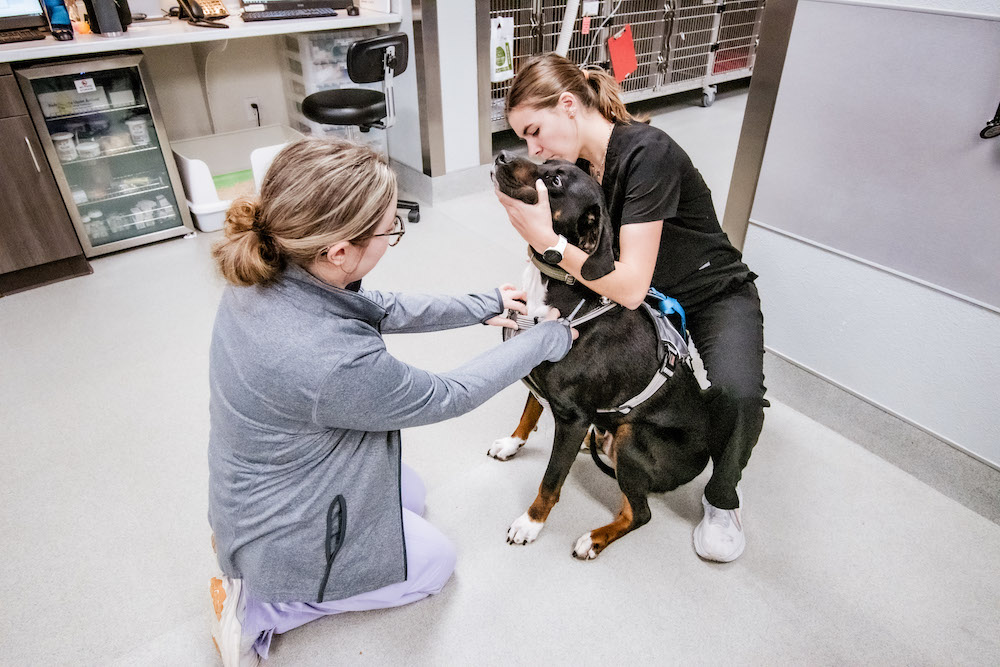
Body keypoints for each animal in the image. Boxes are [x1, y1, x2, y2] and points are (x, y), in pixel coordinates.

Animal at [492, 151, 736, 560]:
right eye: (547, 160)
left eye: (555, 182)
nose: (501, 155)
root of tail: (702, 460)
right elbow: (529, 412)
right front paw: (512, 443)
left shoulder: (573, 419)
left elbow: (551, 480)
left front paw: (530, 523)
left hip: (632, 437)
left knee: (639, 512)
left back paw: (594, 538)